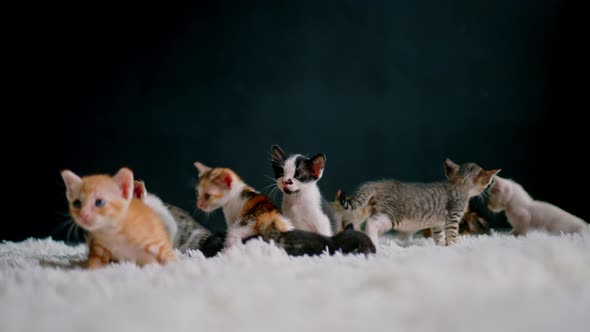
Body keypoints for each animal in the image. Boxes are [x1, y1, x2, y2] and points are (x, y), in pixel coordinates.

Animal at [332, 158, 500, 246]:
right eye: (488, 181)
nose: (488, 187)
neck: (458, 185)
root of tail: (378, 184)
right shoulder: (453, 216)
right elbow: (452, 235)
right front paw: (453, 246)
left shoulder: (438, 223)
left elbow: (439, 236)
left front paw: (441, 248)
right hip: (392, 215)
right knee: (372, 222)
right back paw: (373, 241)